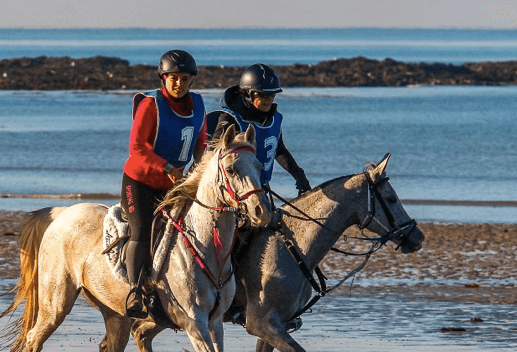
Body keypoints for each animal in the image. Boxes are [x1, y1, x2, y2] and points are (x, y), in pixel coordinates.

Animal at [0, 126, 272, 352]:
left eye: (260, 168)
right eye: (231, 169)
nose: (261, 211)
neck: (207, 249)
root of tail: (60, 214)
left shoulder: (215, 323)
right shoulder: (195, 324)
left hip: (114, 312)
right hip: (55, 303)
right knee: (34, 338)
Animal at [128, 153, 424, 350]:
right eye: (391, 199)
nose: (417, 237)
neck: (292, 248)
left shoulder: (273, 327)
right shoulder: (263, 324)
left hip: (168, 315)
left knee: (140, 331)